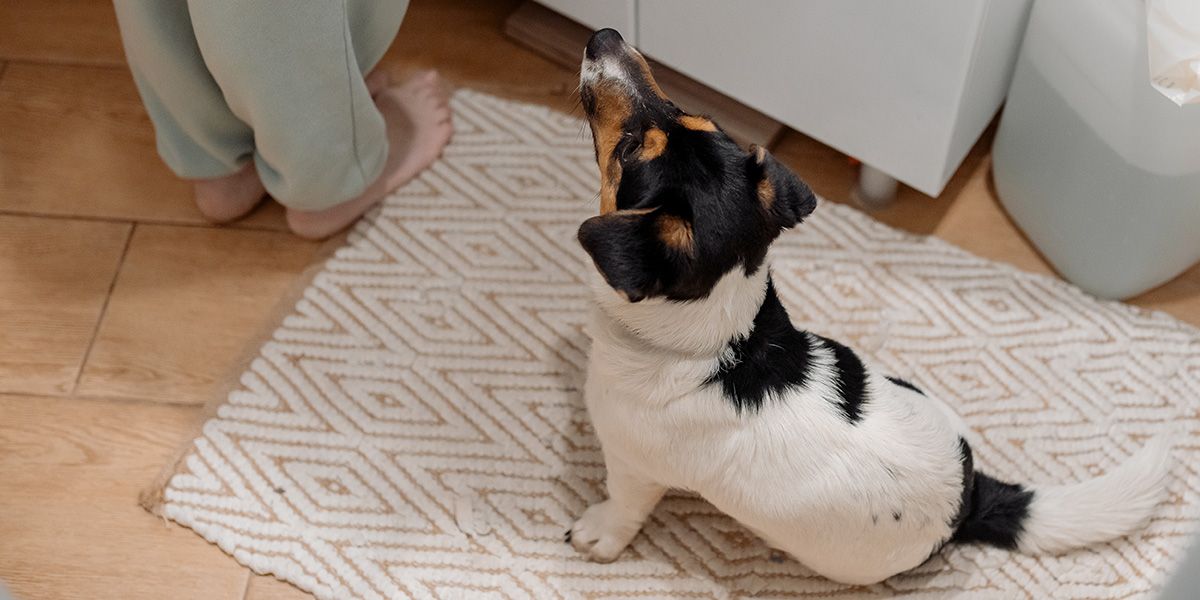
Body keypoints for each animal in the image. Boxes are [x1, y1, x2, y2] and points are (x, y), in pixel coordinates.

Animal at [568, 29, 1171, 585]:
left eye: (628, 150)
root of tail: (970, 497)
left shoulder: (633, 465)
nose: (606, 36)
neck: (720, 337)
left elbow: (622, 507)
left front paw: (597, 536)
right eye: (689, 113)